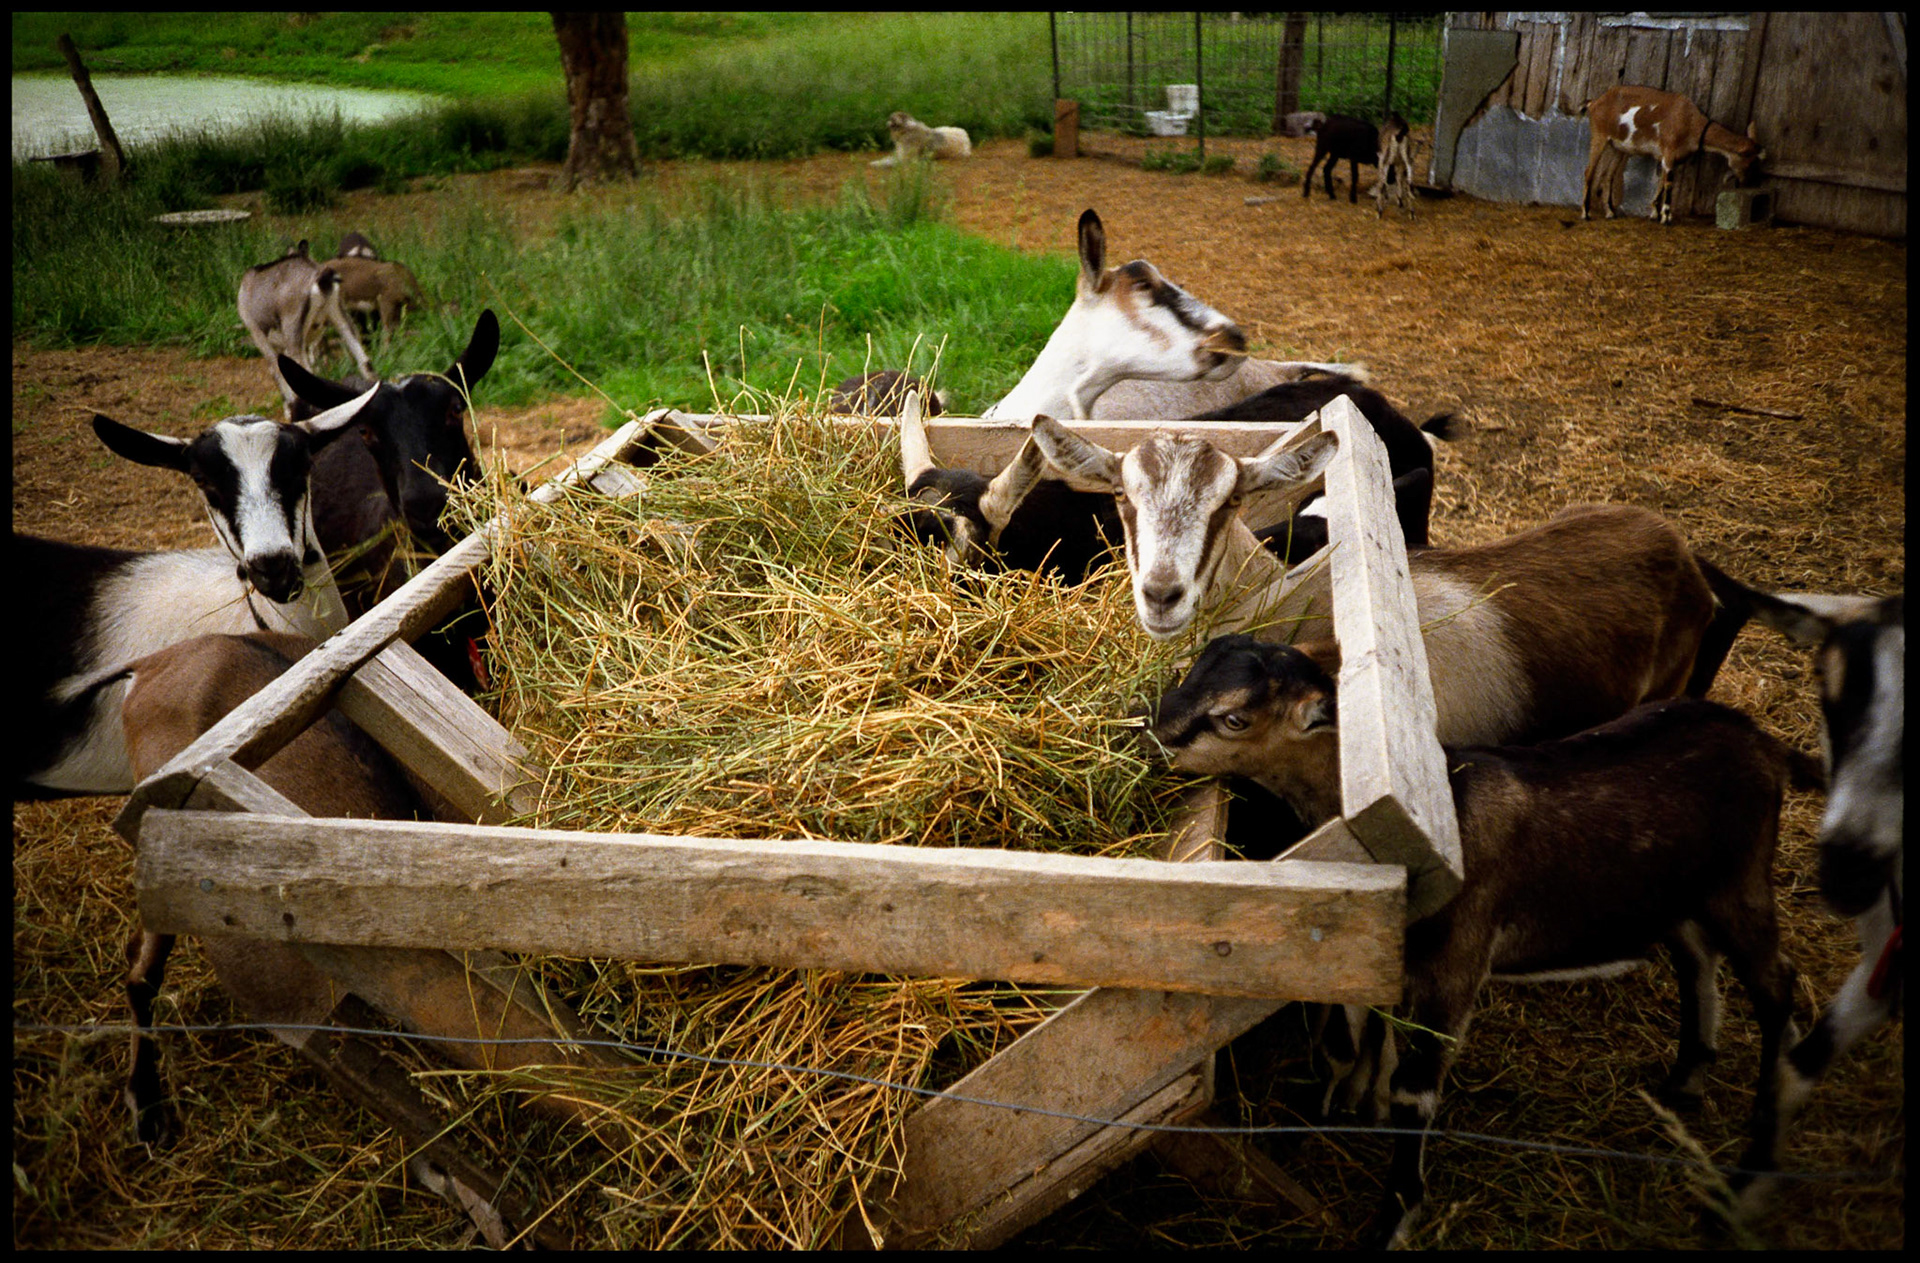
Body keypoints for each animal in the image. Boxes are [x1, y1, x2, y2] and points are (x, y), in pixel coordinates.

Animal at [237, 240, 375, 408]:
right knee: (365, 363)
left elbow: (277, 372)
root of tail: (318, 276)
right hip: (339, 315)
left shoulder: (259, 336)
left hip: (293, 335)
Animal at [1147, 635, 1812, 1248]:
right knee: (1698, 958)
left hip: (1742, 880)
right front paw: (1343, 1107)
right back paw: (1685, 1083)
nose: (1151, 738)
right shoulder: (1393, 955)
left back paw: (1754, 1169)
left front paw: (1392, 1219)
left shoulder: (1454, 966)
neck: (1432, 814)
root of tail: (1760, 738)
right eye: (1193, 668)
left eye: (1234, 718)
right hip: (1679, 891)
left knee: (1778, 988)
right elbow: (1352, 1041)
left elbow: (1414, 1092)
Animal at [1581, 85, 1765, 225]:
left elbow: (1662, 182)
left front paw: (1655, 213)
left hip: (1617, 147)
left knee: (1607, 176)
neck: (1690, 121)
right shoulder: (1669, 152)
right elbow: (1669, 183)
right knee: (1589, 171)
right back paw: (1586, 213)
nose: (1747, 181)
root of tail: (1594, 103)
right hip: (1599, 135)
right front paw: (1666, 218)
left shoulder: (1670, 158)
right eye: (1748, 161)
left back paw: (1610, 213)